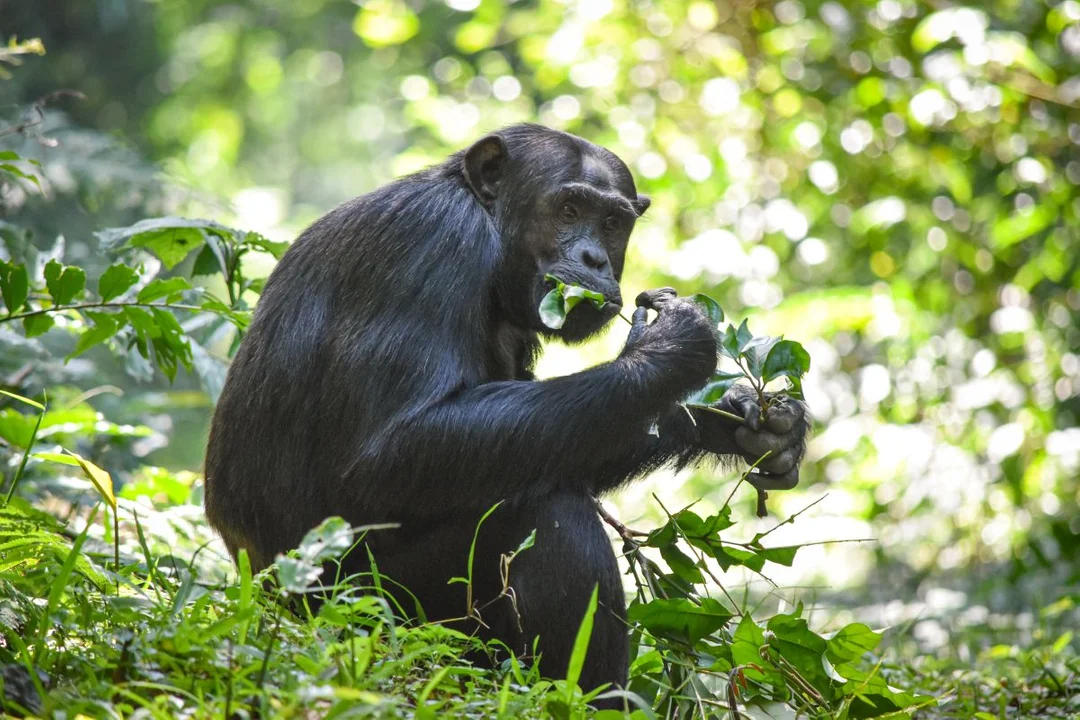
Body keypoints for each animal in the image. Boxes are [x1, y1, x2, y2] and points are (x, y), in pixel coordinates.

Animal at [204, 122, 812, 699]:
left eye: (612, 223)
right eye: (569, 210)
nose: (594, 257)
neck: (491, 235)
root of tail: (267, 601)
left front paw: (752, 421)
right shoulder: (430, 243)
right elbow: (391, 449)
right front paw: (669, 348)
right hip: (367, 613)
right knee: (549, 514)